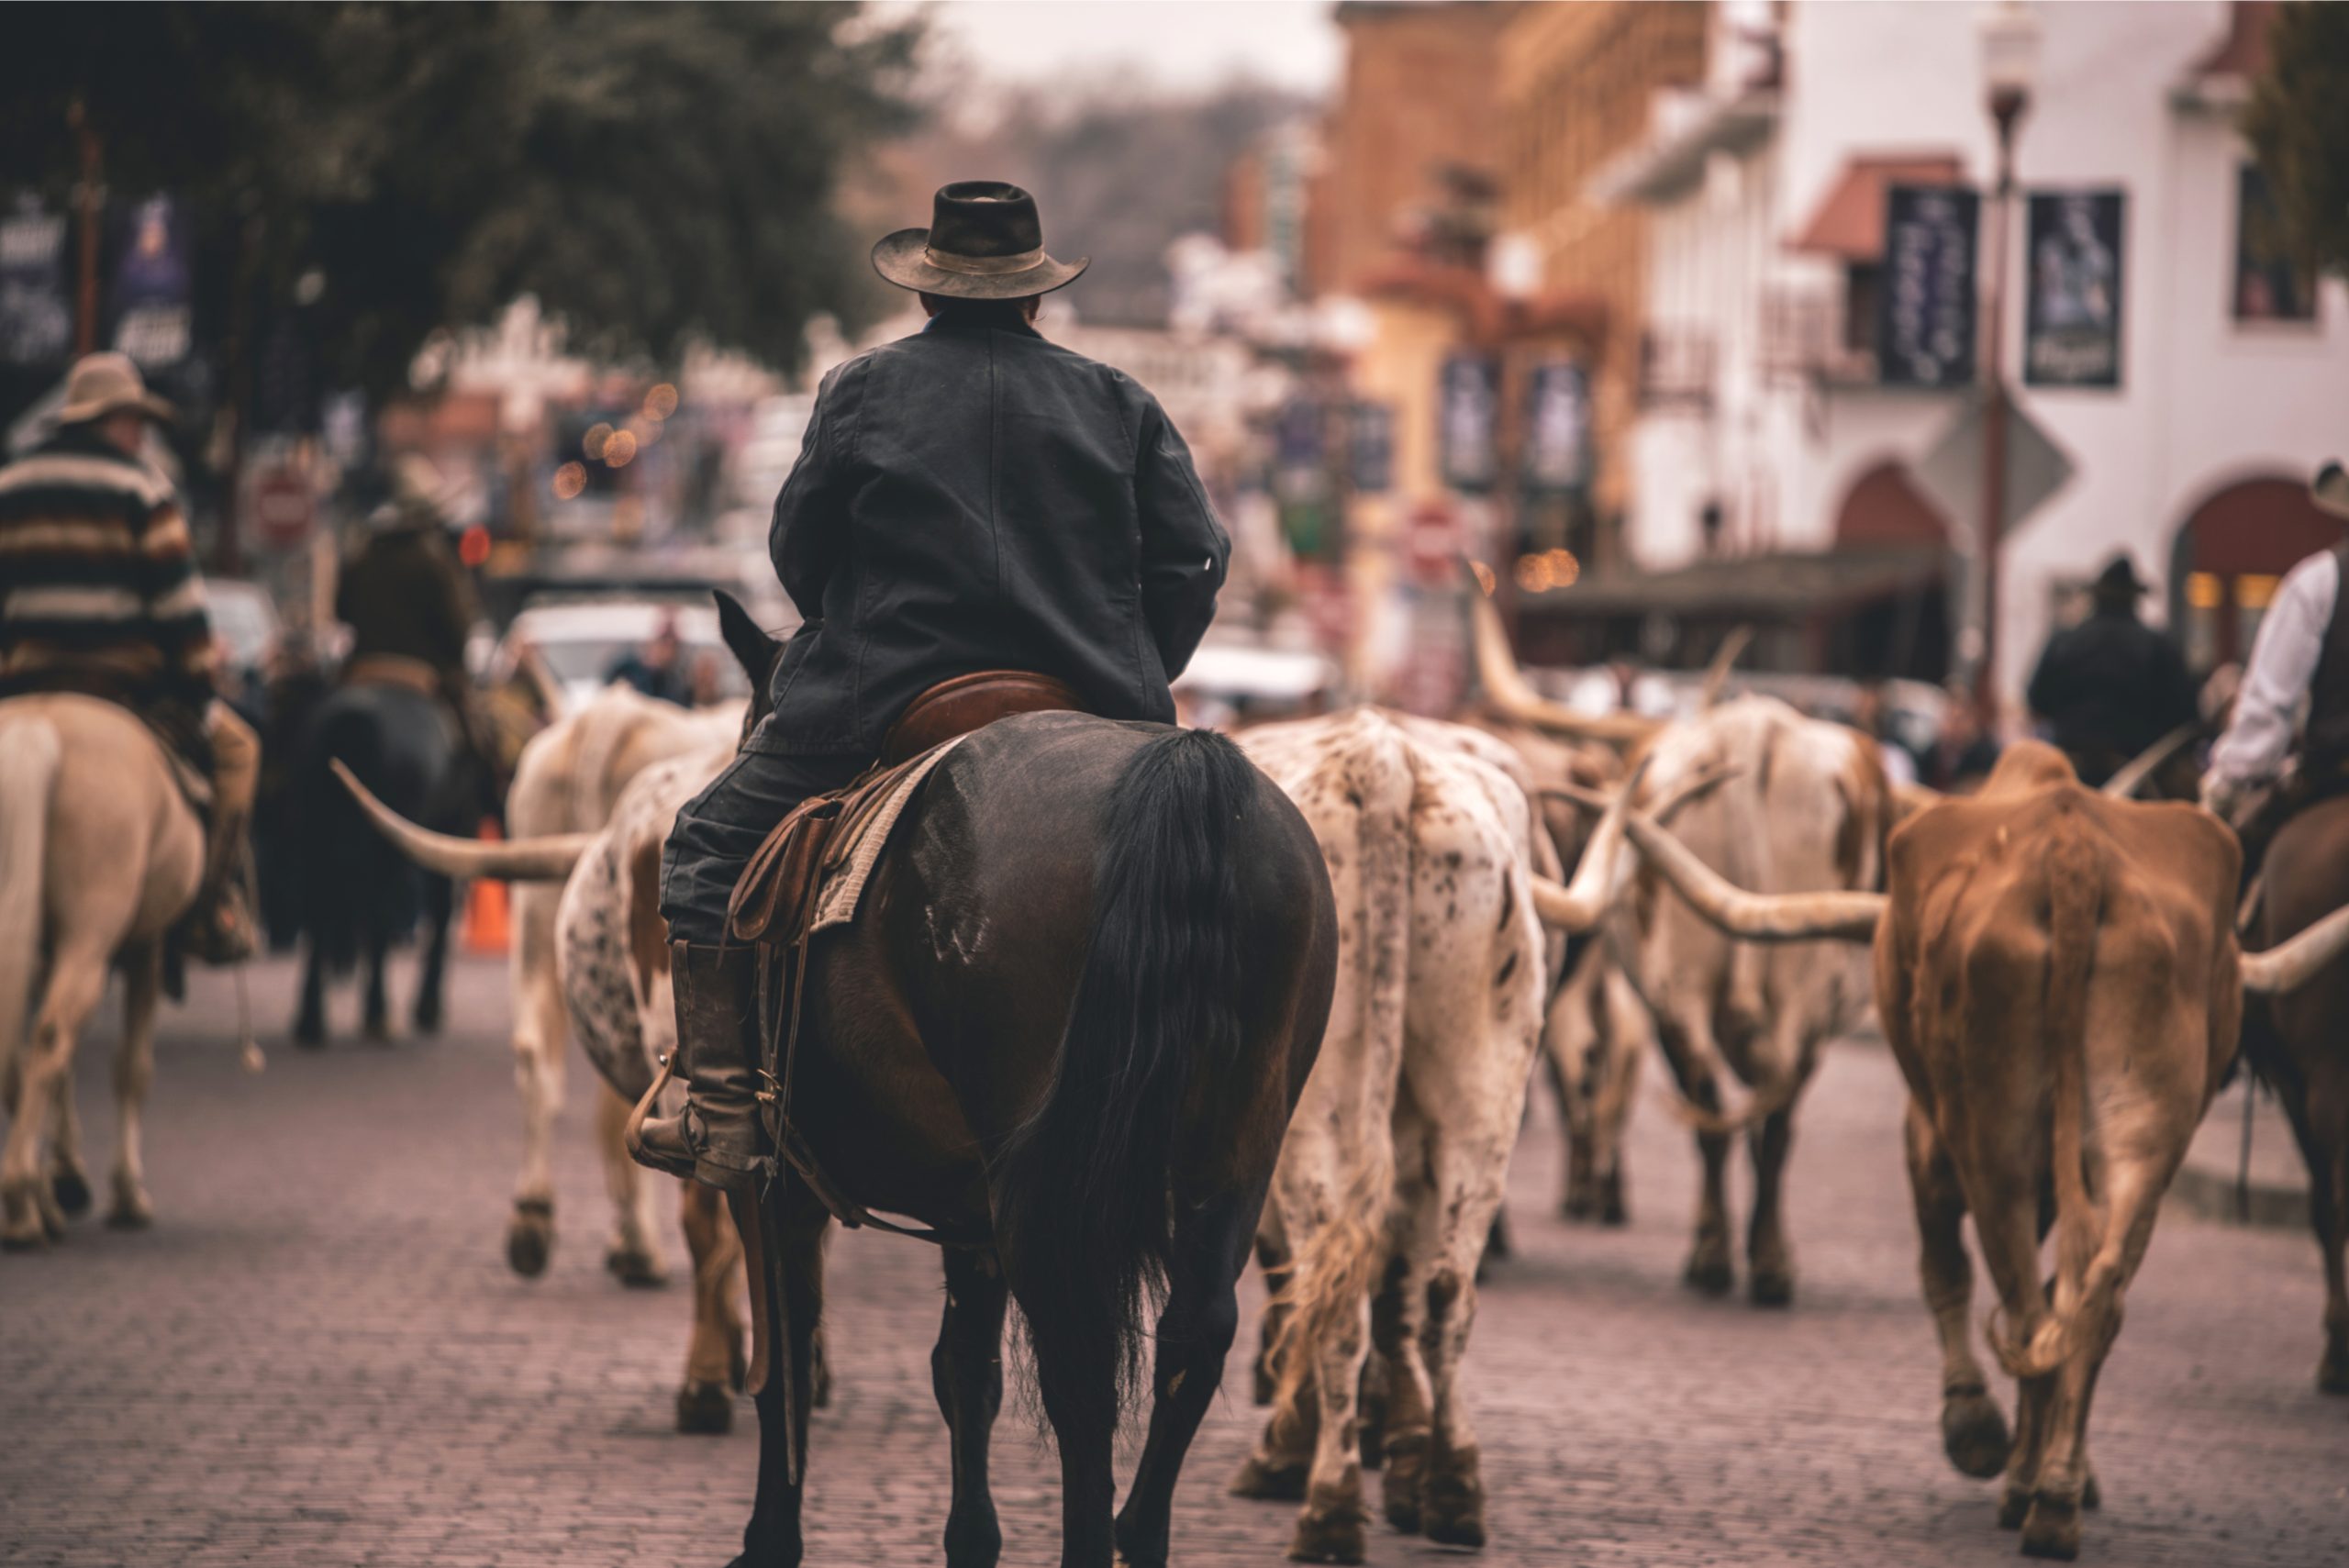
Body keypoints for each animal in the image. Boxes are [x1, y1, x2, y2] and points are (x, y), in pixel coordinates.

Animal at [0, 694, 205, 1247]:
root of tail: (36, 725)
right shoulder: (145, 948)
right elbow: (132, 1068)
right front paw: (127, 1194)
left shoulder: (43, 950)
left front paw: (65, 1179)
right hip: (93, 933)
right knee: (52, 1038)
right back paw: (21, 1205)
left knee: (32, 1049)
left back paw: (33, 1201)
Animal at [1617, 739, 2349, 1559]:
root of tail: (2074, 849)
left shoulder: (1928, 1138)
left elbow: (1945, 1269)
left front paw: (1973, 1424)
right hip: (2141, 1146)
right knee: (2090, 1303)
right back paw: (2057, 1494)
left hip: (1987, 1135)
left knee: (2023, 1299)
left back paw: (2026, 1480)